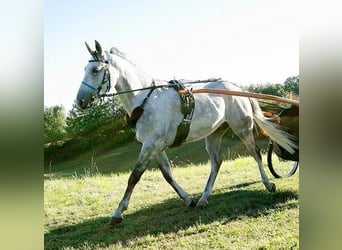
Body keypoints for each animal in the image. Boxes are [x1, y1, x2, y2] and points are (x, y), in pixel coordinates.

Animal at [75, 41, 296, 225]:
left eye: (95, 70)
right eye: (84, 69)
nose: (80, 101)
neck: (146, 100)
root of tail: (235, 88)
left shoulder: (150, 145)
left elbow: (134, 176)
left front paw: (118, 212)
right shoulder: (155, 147)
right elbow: (167, 174)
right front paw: (188, 199)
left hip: (242, 127)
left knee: (256, 154)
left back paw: (268, 184)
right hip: (214, 134)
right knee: (216, 162)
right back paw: (204, 198)